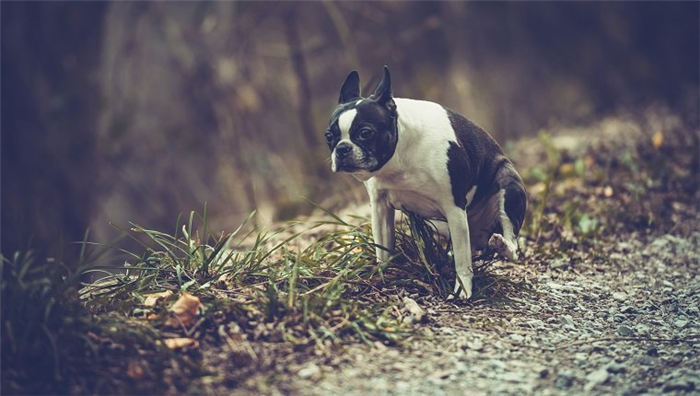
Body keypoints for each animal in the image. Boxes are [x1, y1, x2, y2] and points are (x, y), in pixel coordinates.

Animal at [322, 66, 524, 298]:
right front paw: (381, 273)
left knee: (511, 245)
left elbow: (462, 262)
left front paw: (462, 289)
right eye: (329, 136)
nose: (342, 148)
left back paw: (501, 245)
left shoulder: (454, 208)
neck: (399, 156)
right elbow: (383, 248)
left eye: (365, 133)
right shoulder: (380, 207)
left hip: (507, 184)